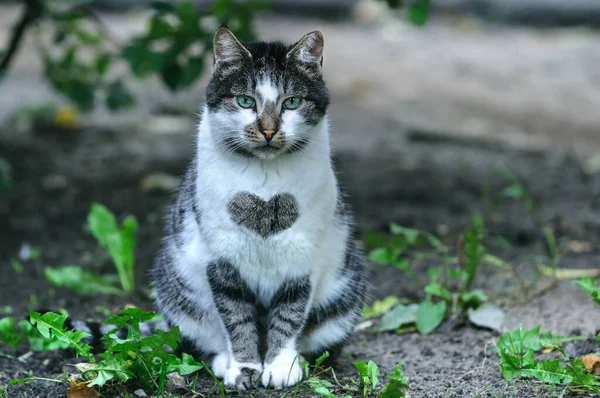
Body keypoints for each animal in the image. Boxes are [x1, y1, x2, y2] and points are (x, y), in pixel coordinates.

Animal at [151, 28, 366, 392]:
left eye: (291, 102)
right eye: (245, 101)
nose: (268, 130)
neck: (265, 184)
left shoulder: (302, 261)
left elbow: (290, 315)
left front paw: (279, 366)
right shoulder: (221, 261)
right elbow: (235, 319)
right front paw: (243, 367)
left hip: (346, 294)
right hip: (177, 293)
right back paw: (222, 361)